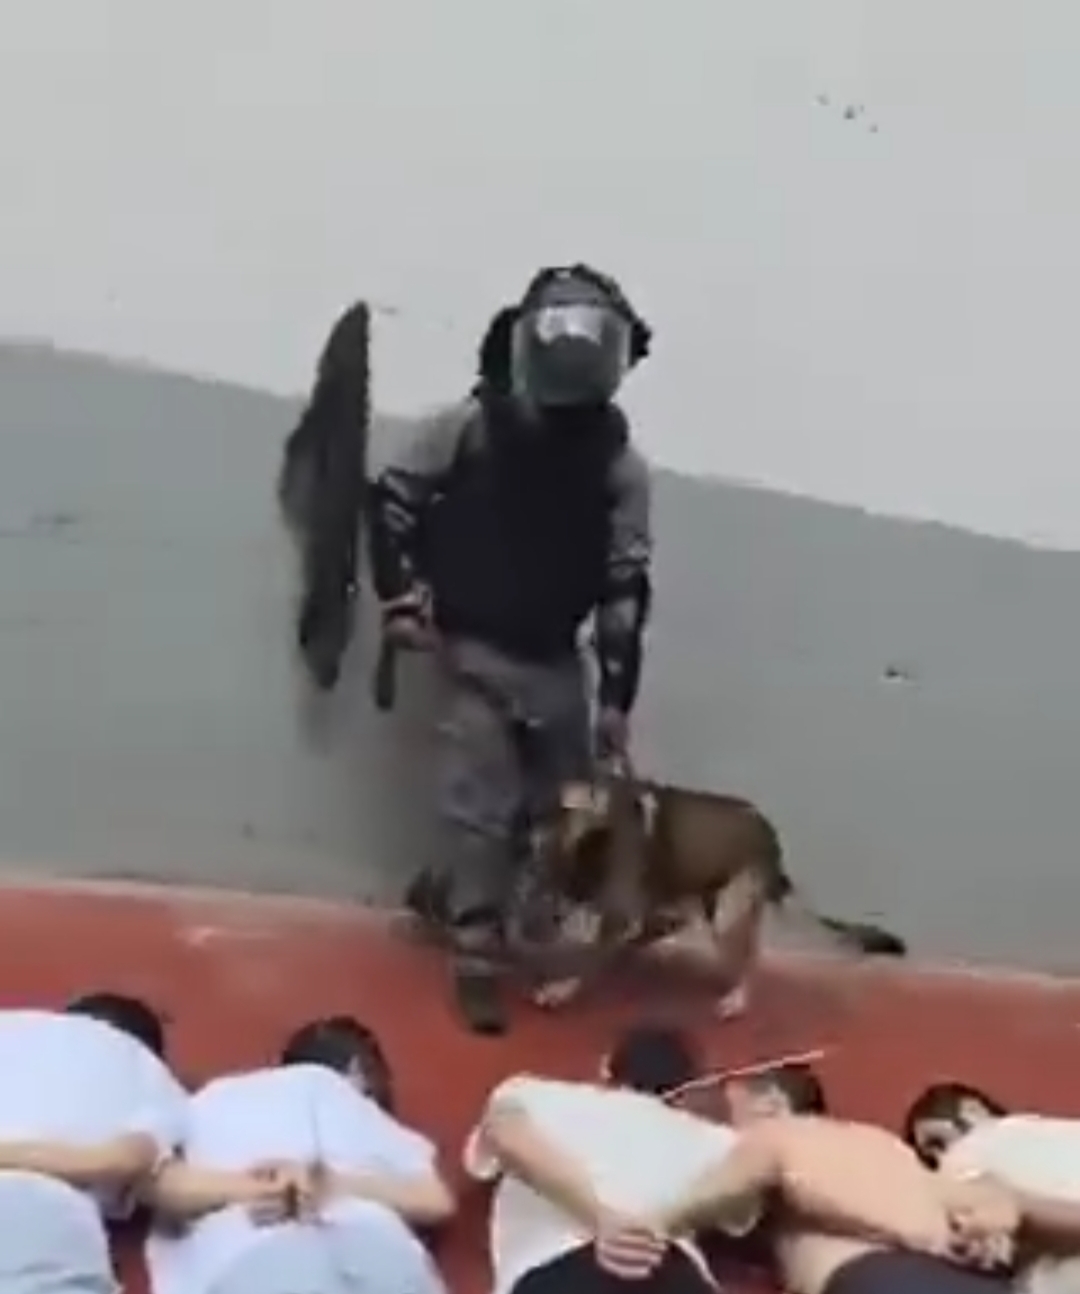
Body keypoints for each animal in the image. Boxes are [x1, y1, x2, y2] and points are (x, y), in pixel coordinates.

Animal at [524, 760, 906, 1014]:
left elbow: (586, 959)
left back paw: (736, 997)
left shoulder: (617, 911)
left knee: (747, 957)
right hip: (705, 898)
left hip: (726, 913)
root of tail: (773, 843)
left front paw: (561, 988)